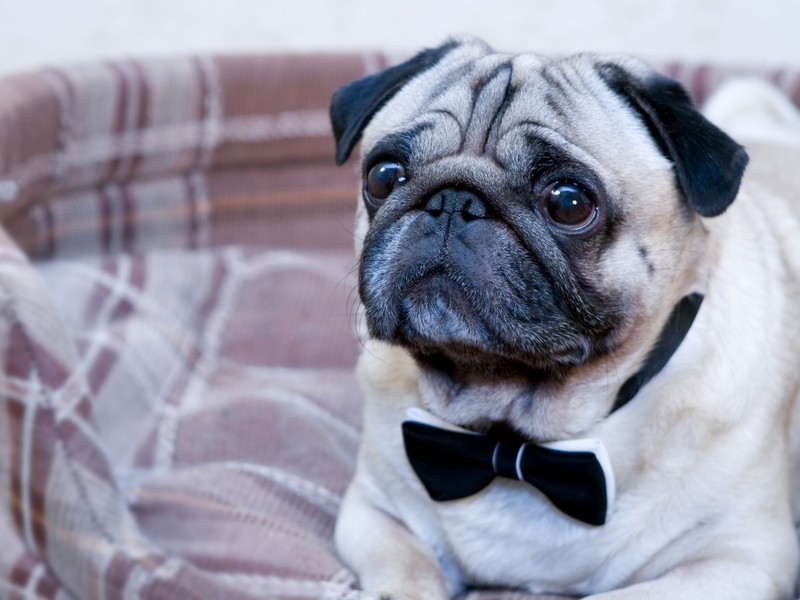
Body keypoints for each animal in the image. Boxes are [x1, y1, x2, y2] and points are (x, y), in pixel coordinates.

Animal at [328, 36, 800, 596]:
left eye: (569, 203)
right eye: (383, 176)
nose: (454, 201)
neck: (514, 440)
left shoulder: (739, 562)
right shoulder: (371, 513)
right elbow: (406, 573)